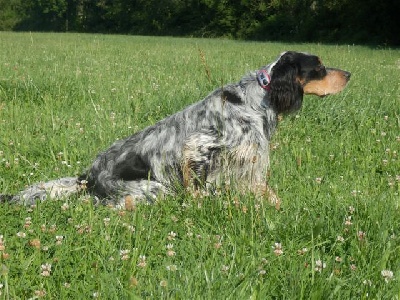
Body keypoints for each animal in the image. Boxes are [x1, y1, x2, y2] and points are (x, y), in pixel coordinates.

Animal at [0, 51, 350, 209]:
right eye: (319, 67)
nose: (348, 74)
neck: (258, 97)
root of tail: (89, 174)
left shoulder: (247, 162)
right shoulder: (198, 147)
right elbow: (197, 186)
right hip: (152, 188)